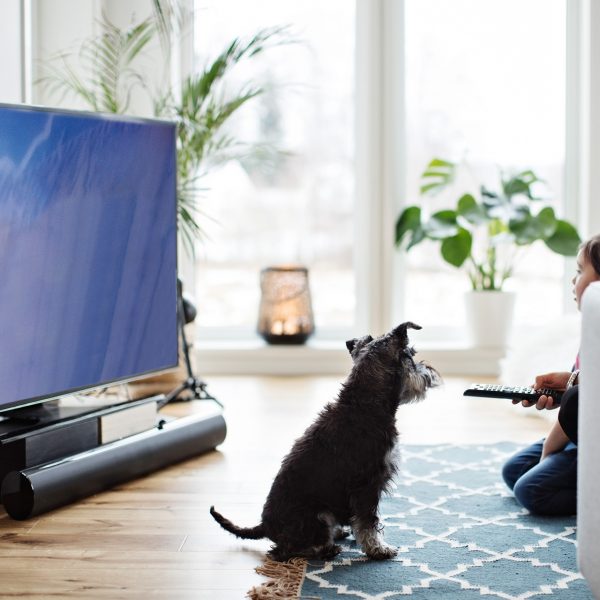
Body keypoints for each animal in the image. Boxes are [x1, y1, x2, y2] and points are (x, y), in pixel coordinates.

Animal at [210, 324, 440, 564]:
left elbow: (363, 522)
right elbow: (368, 522)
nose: (430, 372)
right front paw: (378, 549)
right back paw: (326, 548)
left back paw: (337, 533)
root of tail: (264, 526)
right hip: (317, 516)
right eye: (410, 356)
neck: (364, 403)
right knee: (283, 551)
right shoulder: (367, 486)